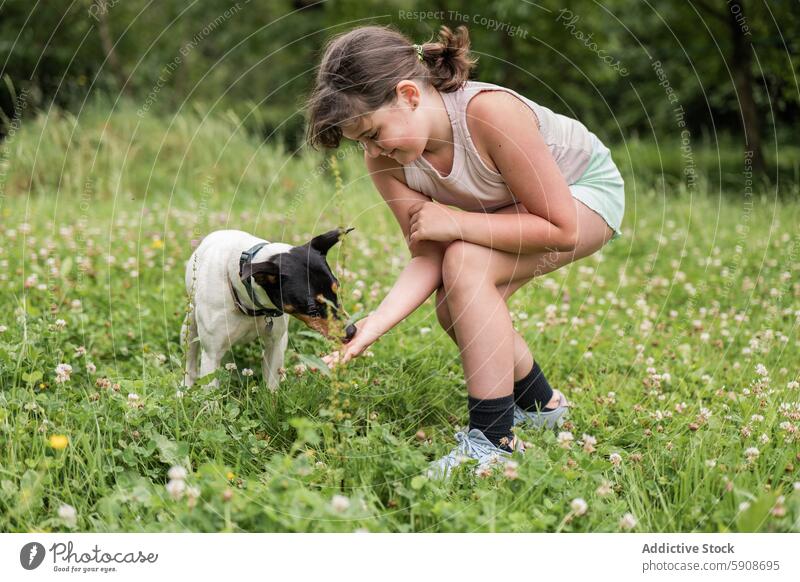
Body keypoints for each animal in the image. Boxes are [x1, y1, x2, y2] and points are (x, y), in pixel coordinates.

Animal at [184, 228, 356, 392]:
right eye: (312, 307)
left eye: (337, 289)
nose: (352, 331)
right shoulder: (212, 355)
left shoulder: (275, 343)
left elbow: (272, 387)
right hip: (189, 325)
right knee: (190, 360)